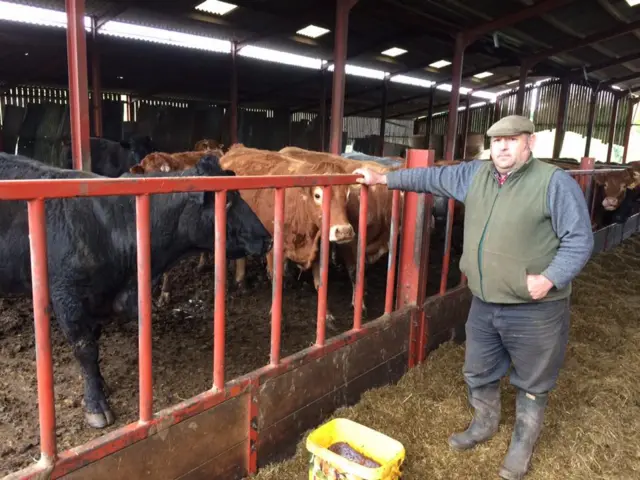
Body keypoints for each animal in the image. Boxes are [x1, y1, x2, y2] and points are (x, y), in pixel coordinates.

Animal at [0, 153, 272, 428]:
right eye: (226, 201)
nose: (267, 238)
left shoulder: (99, 300)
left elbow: (94, 343)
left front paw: (100, 383)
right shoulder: (67, 297)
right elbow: (86, 349)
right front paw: (96, 404)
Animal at [218, 142, 352, 326]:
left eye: (347, 195)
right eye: (318, 195)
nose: (344, 231)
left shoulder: (317, 249)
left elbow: (320, 282)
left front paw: (326, 315)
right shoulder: (273, 248)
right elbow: (277, 282)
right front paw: (276, 316)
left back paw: (241, 281)